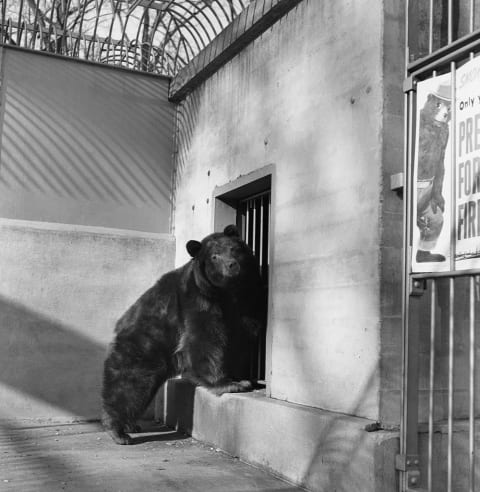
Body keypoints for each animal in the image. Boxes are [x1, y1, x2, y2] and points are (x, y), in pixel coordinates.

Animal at [100, 225, 262, 444]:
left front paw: (241, 376)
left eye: (233, 249)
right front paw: (229, 384)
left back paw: (131, 424)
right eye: (214, 256)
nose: (231, 265)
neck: (225, 292)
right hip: (145, 346)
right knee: (130, 384)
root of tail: (119, 327)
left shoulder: (244, 300)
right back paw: (118, 430)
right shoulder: (196, 301)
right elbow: (205, 340)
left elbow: (241, 337)